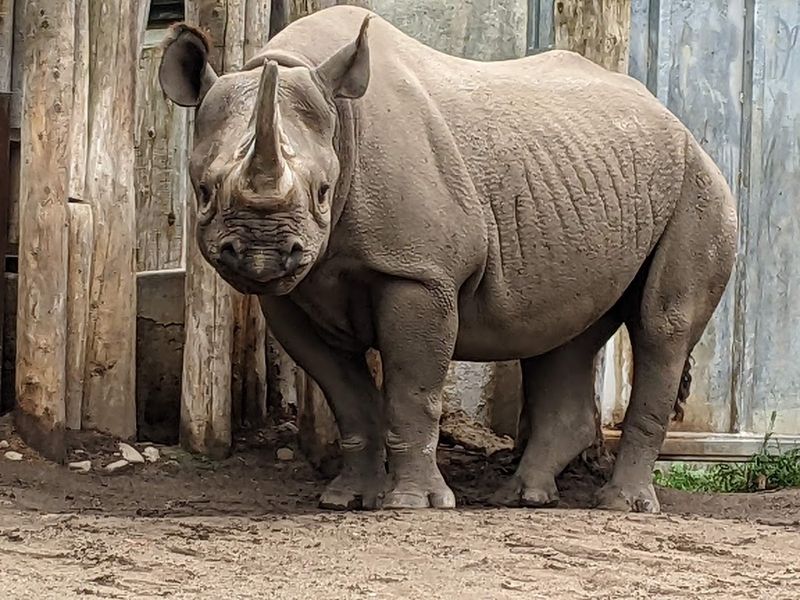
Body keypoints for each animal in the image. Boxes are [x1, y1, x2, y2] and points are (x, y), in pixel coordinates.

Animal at [158, 5, 737, 512]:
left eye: (323, 191)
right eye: (204, 191)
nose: (263, 254)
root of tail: (676, 119)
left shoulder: (418, 273)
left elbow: (413, 390)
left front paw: (414, 504)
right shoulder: (295, 294)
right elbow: (347, 396)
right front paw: (347, 499)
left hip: (699, 184)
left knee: (661, 327)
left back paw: (621, 506)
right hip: (588, 180)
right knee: (562, 333)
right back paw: (522, 498)